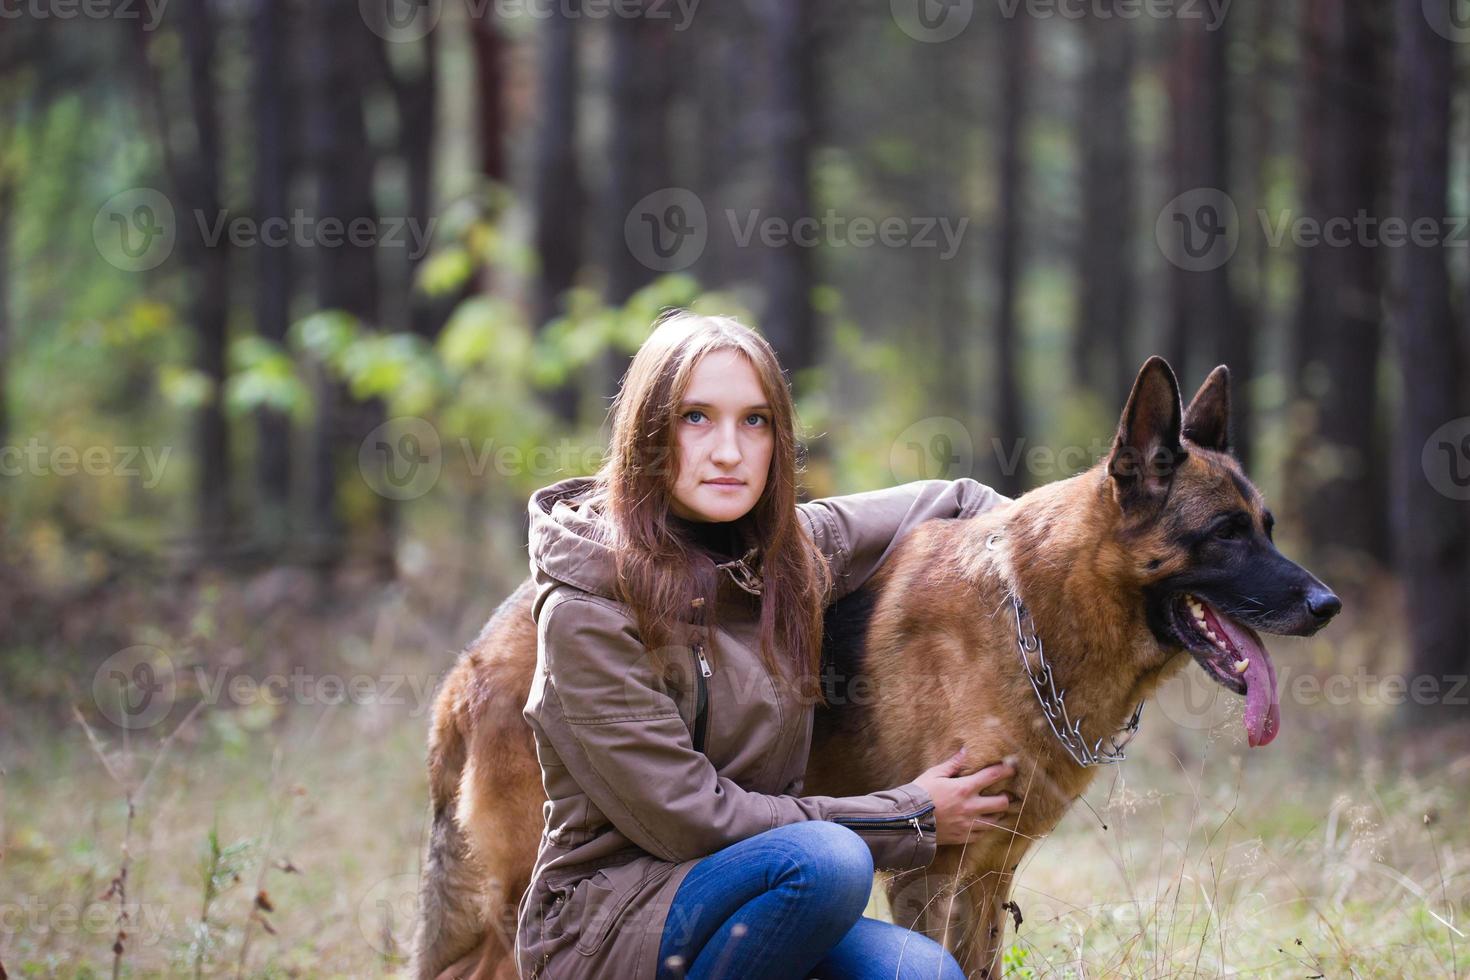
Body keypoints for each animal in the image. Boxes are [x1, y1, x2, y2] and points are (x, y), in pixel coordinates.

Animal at [414, 359, 1346, 980]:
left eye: (1266, 525)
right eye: (1225, 533)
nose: (1327, 604)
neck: (1035, 613)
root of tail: (469, 664)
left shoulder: (987, 881)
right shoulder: (931, 877)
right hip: (514, 905)